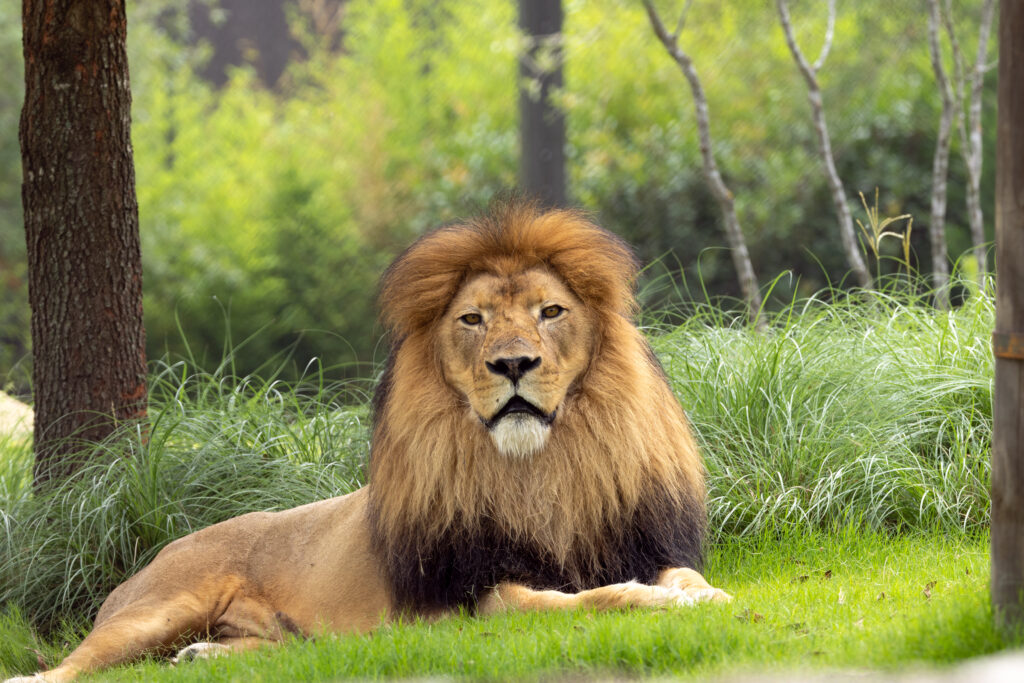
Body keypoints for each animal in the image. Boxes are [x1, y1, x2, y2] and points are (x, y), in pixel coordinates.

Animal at [7, 201, 729, 683]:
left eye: (551, 311)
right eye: (472, 319)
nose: (513, 363)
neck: (541, 469)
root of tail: (165, 547)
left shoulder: (640, 541)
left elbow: (685, 573)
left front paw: (706, 595)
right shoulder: (479, 598)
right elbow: (593, 598)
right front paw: (660, 602)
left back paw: (203, 654)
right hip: (156, 608)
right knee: (61, 670)